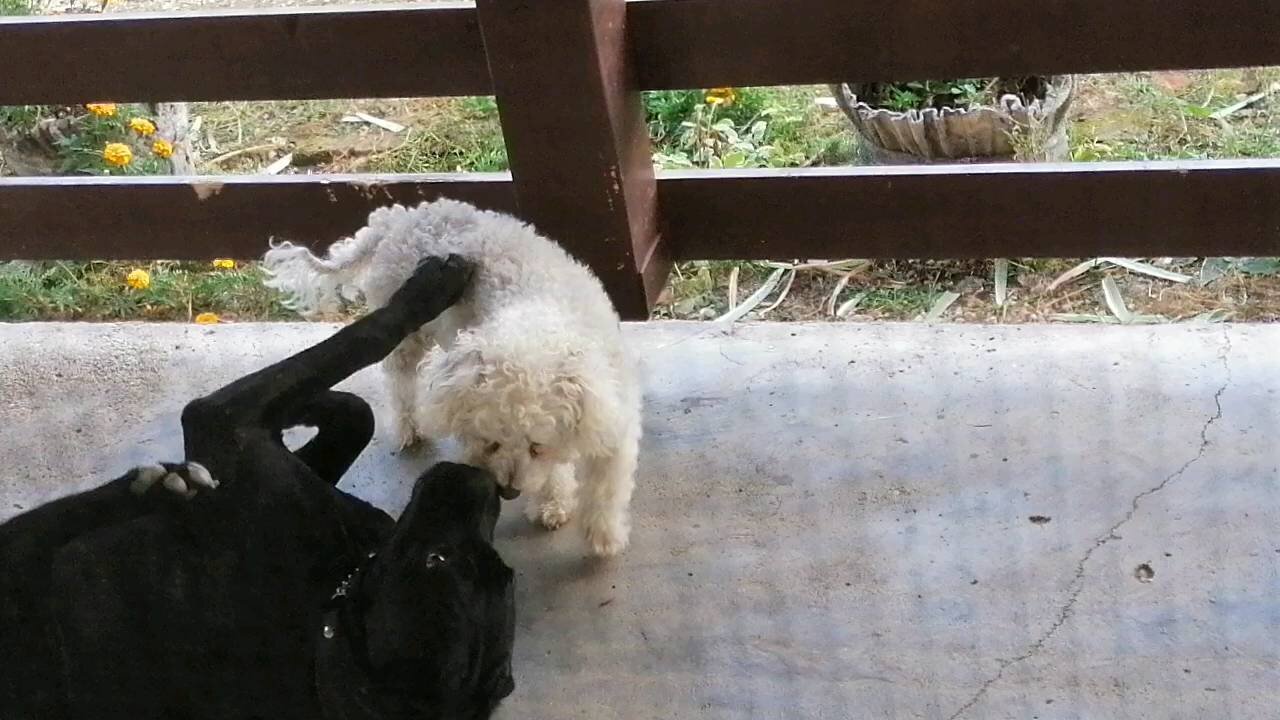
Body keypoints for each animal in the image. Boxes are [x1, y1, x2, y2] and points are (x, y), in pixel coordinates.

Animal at [3, 254, 519, 717]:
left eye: (438, 560)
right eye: (504, 572)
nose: (486, 482)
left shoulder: (230, 432)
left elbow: (356, 344)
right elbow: (356, 409)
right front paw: (313, 405)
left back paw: (155, 485)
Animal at [262, 197, 640, 556]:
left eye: (536, 446)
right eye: (491, 442)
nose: (508, 491)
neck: (538, 312)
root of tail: (397, 220)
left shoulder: (611, 410)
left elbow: (606, 483)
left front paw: (600, 532)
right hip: (406, 334)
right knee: (401, 383)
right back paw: (409, 427)